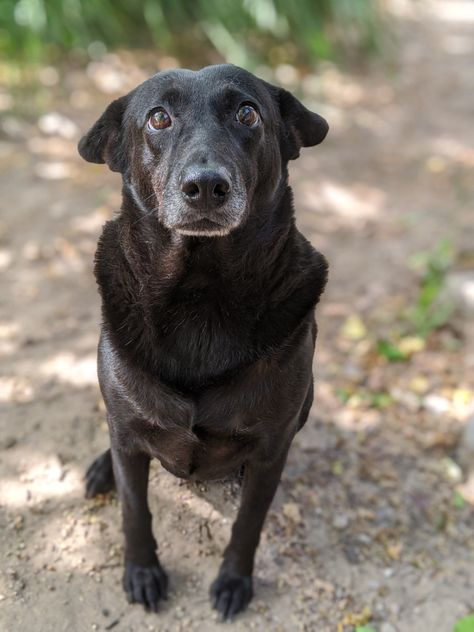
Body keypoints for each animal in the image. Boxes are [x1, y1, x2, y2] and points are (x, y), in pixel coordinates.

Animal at [78, 65, 330, 624]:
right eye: (158, 118)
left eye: (247, 113)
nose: (207, 186)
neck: (200, 295)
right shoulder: (129, 428)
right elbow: (135, 508)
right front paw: (142, 572)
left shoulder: (271, 450)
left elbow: (248, 525)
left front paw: (234, 581)